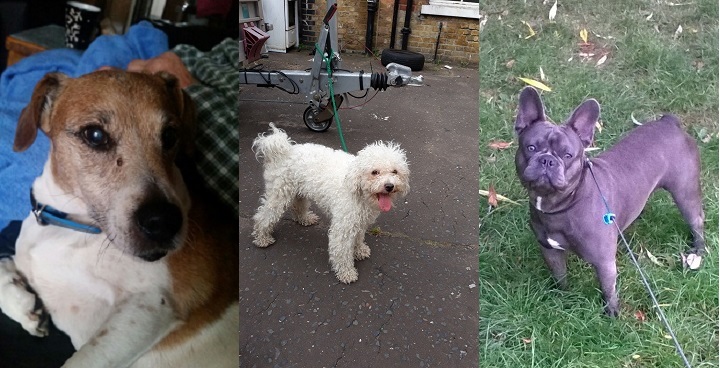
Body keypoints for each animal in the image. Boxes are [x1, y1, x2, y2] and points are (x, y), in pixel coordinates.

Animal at [250, 124, 408, 284]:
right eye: (374, 172)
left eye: (395, 171)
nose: (389, 186)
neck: (356, 188)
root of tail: (284, 151)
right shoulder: (344, 226)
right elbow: (342, 251)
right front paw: (346, 273)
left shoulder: (359, 221)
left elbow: (358, 238)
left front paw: (359, 250)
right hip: (278, 195)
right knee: (263, 216)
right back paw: (262, 238)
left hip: (299, 192)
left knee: (297, 206)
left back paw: (305, 219)